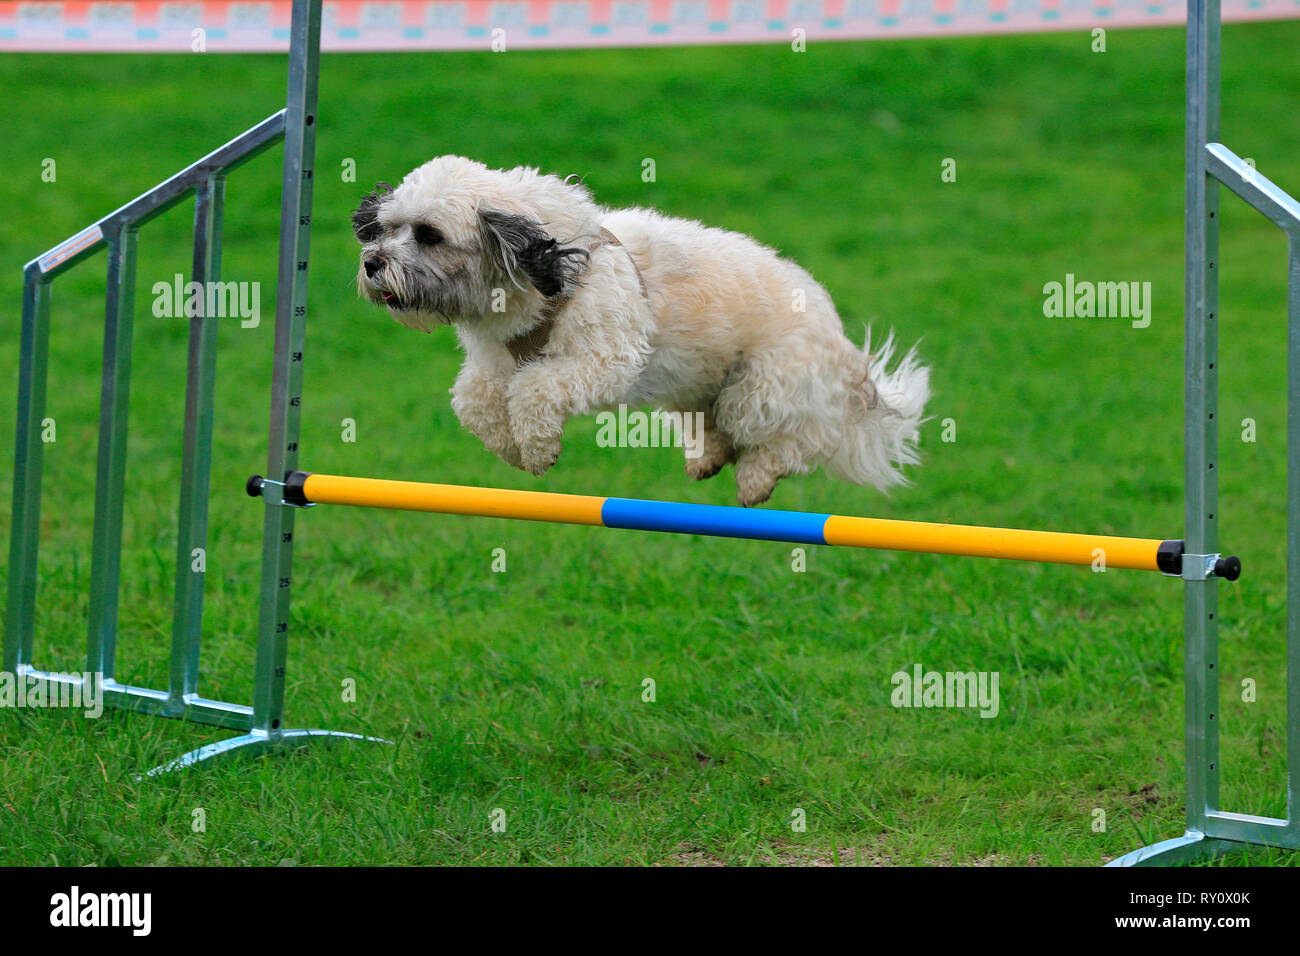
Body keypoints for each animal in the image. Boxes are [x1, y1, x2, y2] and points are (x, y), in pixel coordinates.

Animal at [353, 155, 925, 509]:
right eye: (387, 227)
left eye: (429, 235)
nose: (372, 263)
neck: (549, 269)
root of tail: (845, 356)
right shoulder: (493, 361)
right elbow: (473, 401)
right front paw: (514, 450)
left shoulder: (602, 359)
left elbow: (533, 390)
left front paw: (537, 450)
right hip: (697, 382)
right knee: (716, 424)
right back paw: (708, 460)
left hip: (761, 387)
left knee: (799, 439)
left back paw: (755, 482)